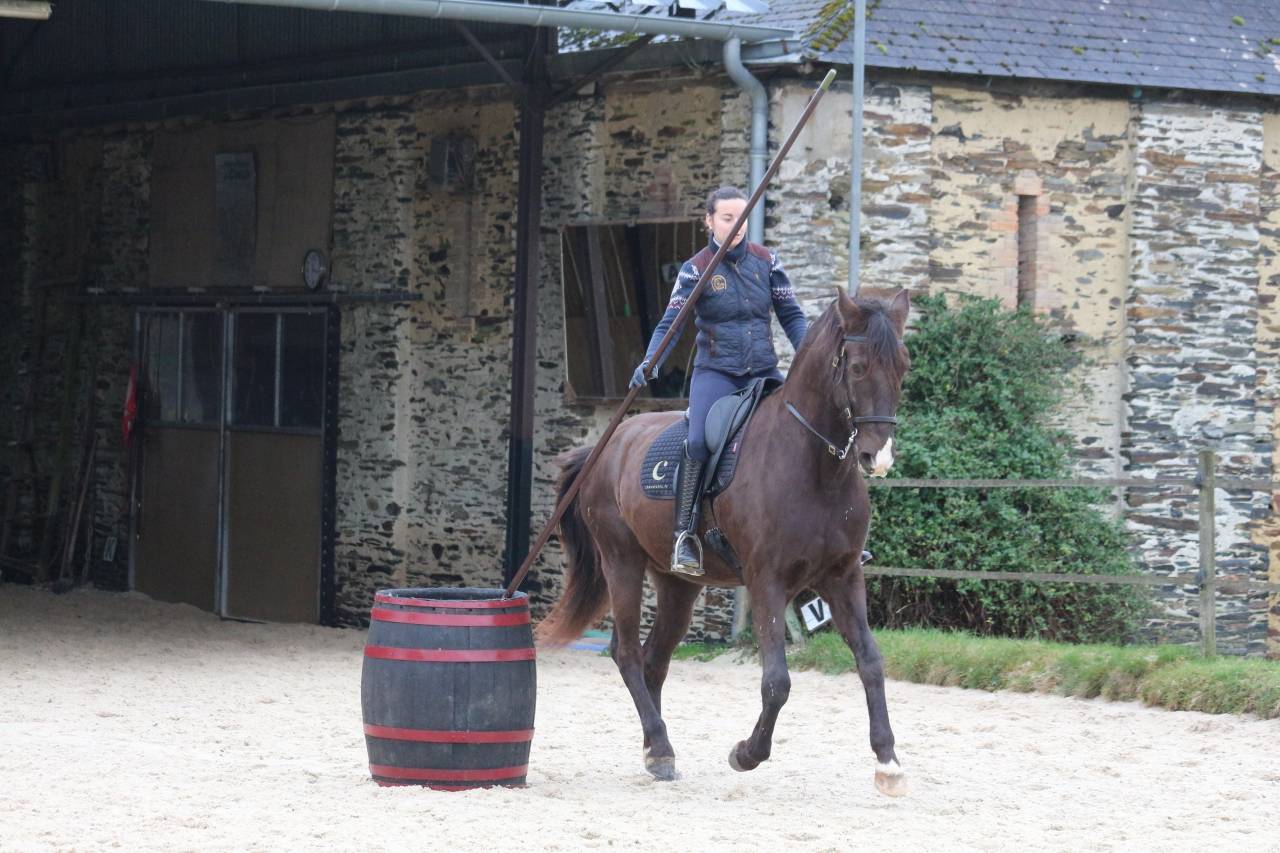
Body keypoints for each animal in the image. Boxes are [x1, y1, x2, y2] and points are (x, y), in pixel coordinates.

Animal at [537, 287, 911, 797]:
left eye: (902, 366)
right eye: (856, 367)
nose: (879, 457)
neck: (816, 468)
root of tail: (605, 446)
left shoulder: (844, 577)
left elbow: (871, 662)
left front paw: (888, 763)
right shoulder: (767, 581)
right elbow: (777, 682)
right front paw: (747, 754)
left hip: (678, 584)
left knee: (654, 660)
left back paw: (657, 750)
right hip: (621, 563)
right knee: (627, 653)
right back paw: (660, 747)